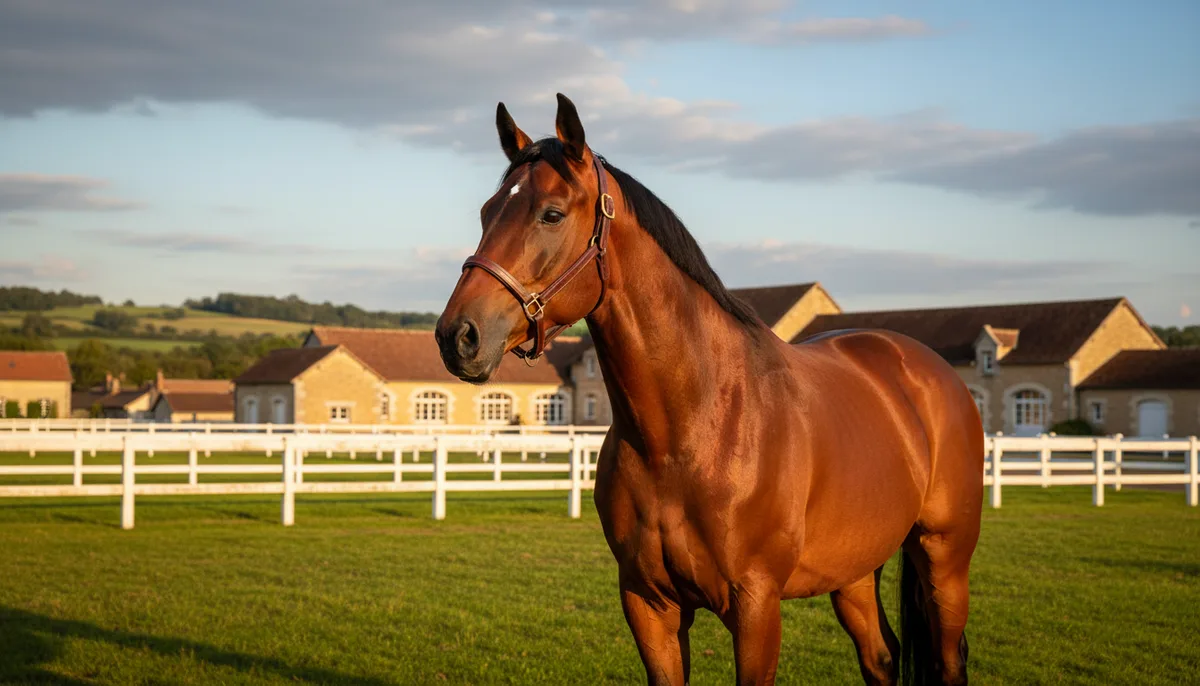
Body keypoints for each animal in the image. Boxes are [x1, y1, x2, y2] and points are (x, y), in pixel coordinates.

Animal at [435, 93, 984, 686]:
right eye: (487, 211)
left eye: (551, 214)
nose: (458, 335)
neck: (692, 430)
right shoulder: (649, 604)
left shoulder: (756, 607)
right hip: (855, 567)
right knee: (881, 657)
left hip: (944, 558)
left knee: (948, 658)